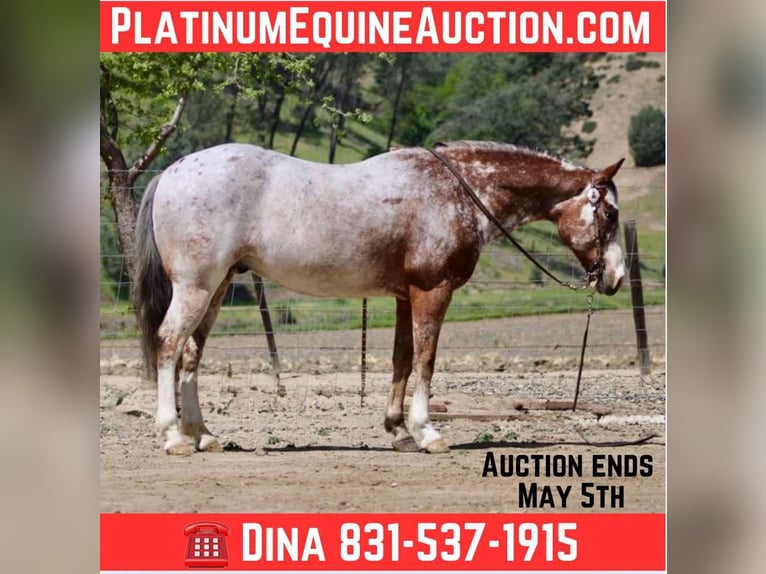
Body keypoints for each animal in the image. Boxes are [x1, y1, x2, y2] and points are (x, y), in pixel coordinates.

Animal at [134, 141, 625, 455]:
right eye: (610, 213)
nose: (617, 277)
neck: (458, 190)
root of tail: (172, 172)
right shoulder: (432, 291)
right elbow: (426, 360)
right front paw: (428, 433)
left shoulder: (406, 297)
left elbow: (402, 360)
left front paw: (399, 431)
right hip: (196, 287)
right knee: (168, 344)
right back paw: (174, 437)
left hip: (215, 289)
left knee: (192, 354)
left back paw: (203, 434)